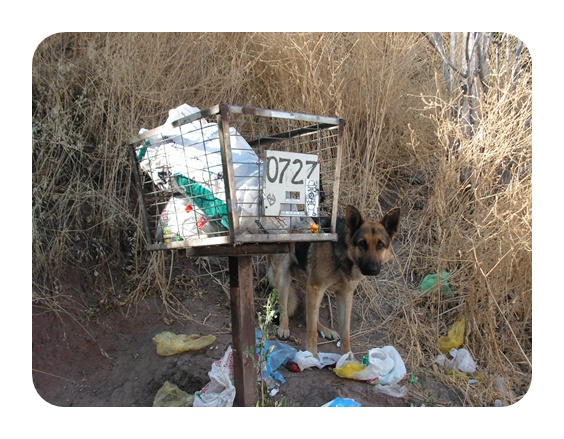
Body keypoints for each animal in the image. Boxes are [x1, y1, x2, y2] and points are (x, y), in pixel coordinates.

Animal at [266, 205, 398, 358]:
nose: (372, 269)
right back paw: (283, 327)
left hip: (310, 286)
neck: (343, 254)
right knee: (286, 307)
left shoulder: (345, 296)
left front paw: (348, 357)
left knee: (311, 316)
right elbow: (311, 333)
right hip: (284, 277)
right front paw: (312, 355)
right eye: (362, 244)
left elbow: (345, 333)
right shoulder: (316, 287)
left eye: (380, 245)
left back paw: (324, 329)